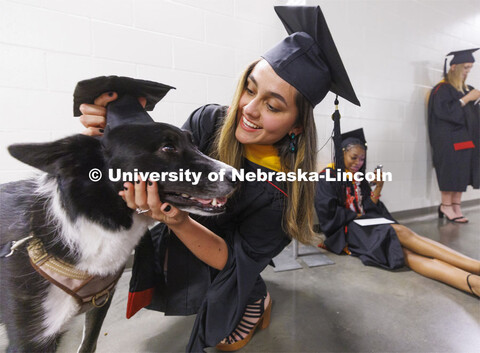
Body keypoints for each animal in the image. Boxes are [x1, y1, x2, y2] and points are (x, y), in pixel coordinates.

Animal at [0, 122, 236, 350]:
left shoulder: (100, 304)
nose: (237, 177)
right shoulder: (30, 339)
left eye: (193, 143)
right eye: (168, 147)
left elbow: (88, 345)